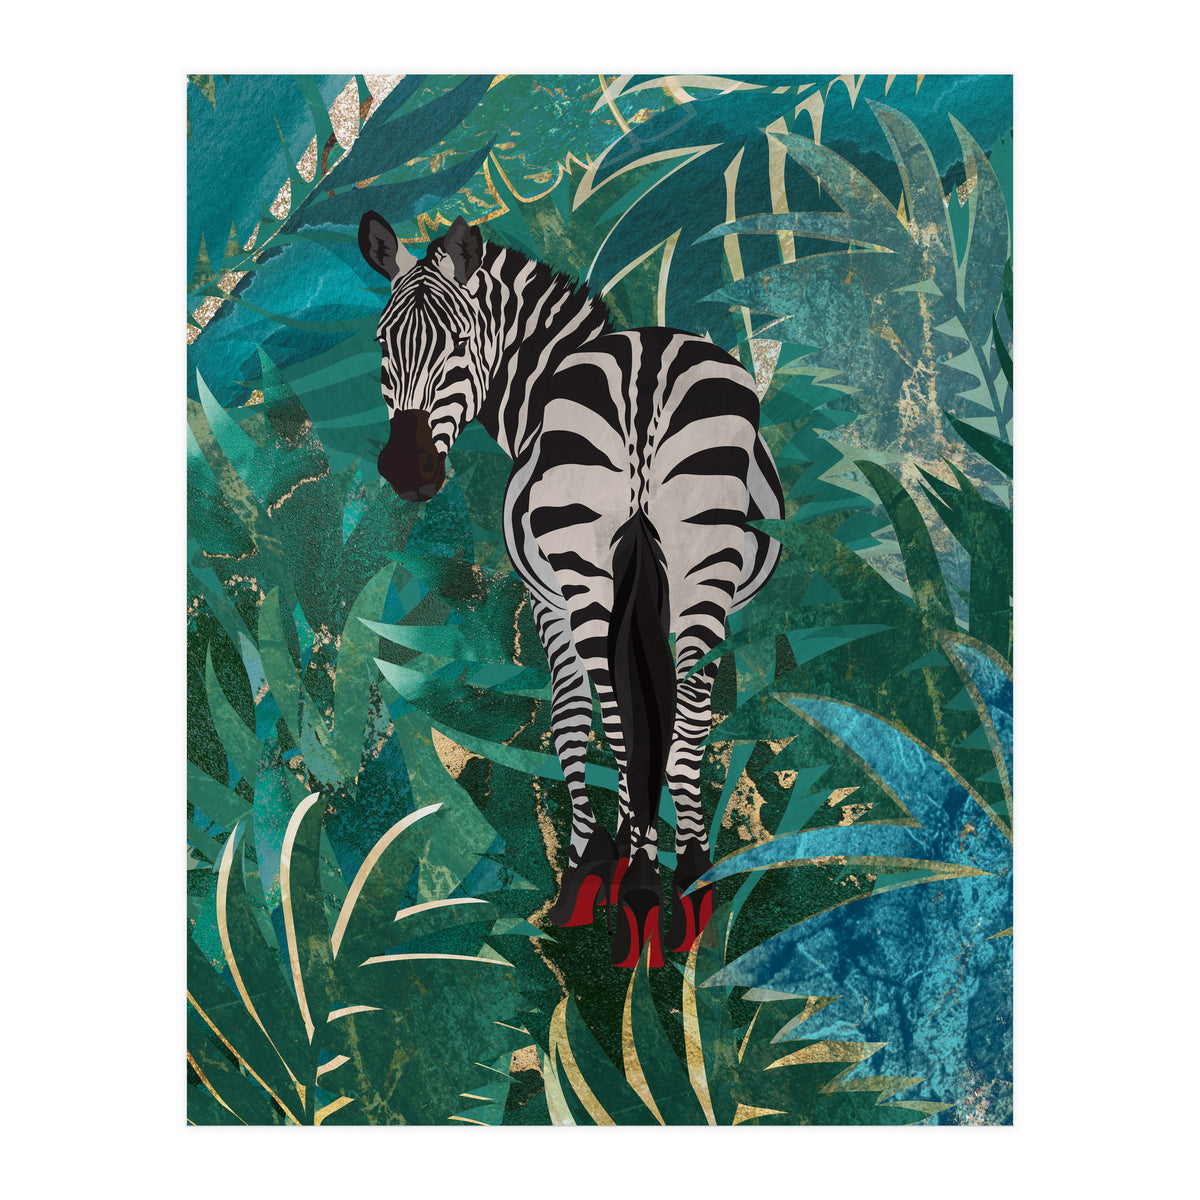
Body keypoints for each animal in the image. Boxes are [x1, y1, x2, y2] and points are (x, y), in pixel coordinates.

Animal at [359, 211, 782, 967]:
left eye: (458, 343)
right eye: (383, 345)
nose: (406, 470)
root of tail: (645, 372)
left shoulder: (548, 599)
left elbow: (572, 719)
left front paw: (590, 870)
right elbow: (668, 716)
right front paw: (637, 857)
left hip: (586, 563)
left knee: (619, 713)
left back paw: (637, 892)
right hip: (701, 558)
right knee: (684, 713)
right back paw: (690, 885)